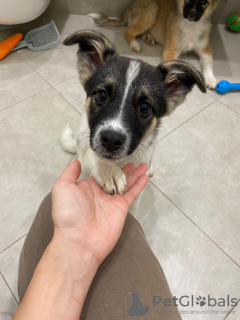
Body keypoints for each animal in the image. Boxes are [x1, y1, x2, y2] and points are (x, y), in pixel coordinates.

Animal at [61, 30, 205, 212]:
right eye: (102, 95)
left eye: (145, 107)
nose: (111, 140)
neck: (120, 162)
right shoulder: (85, 138)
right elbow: (90, 151)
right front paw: (108, 171)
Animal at [90, 0, 218, 89]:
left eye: (204, 2)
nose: (192, 14)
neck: (191, 26)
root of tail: (131, 5)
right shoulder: (171, 49)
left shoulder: (205, 49)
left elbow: (208, 63)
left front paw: (210, 79)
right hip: (151, 12)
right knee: (128, 32)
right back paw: (135, 44)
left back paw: (148, 38)